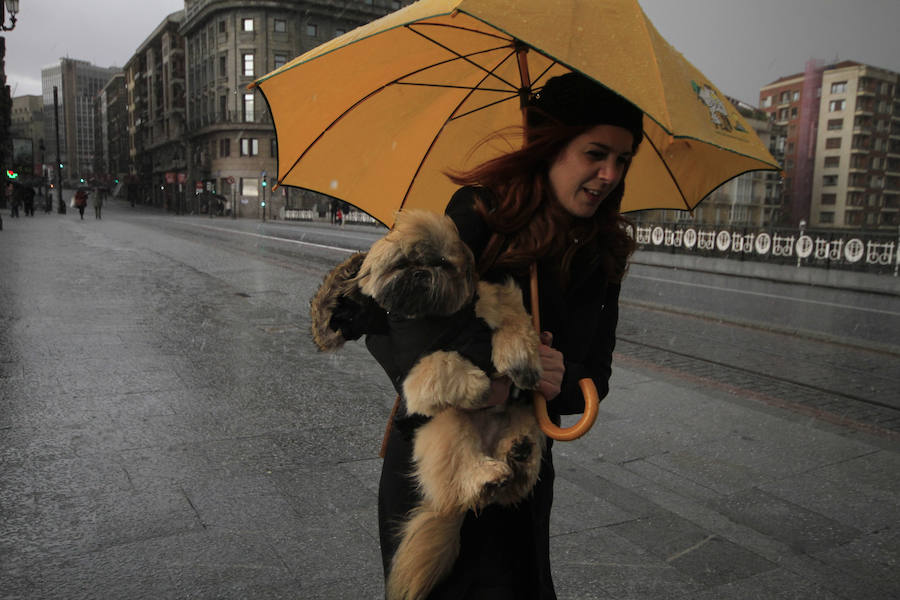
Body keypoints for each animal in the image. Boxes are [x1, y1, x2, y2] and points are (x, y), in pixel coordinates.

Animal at [312, 210, 544, 600]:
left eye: (442, 263)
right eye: (402, 263)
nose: (421, 272)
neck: (436, 318)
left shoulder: (495, 302)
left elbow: (510, 318)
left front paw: (519, 360)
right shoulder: (414, 362)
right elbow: (440, 363)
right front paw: (477, 383)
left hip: (521, 416)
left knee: (516, 479)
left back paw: (518, 455)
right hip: (447, 426)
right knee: (465, 480)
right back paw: (487, 475)